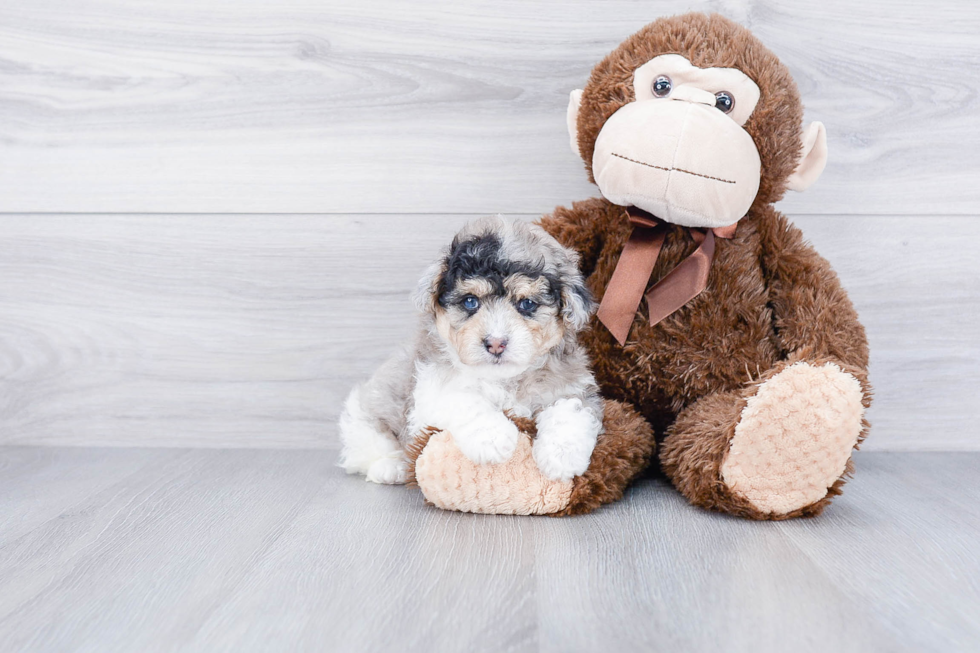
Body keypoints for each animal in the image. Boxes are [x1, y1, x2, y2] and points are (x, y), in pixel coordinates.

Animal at [338, 216, 604, 486]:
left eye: (527, 304)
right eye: (470, 301)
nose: (496, 342)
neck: (505, 380)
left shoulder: (570, 387)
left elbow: (570, 412)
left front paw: (562, 456)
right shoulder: (430, 392)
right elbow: (465, 399)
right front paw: (494, 438)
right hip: (363, 412)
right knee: (366, 446)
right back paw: (391, 467)